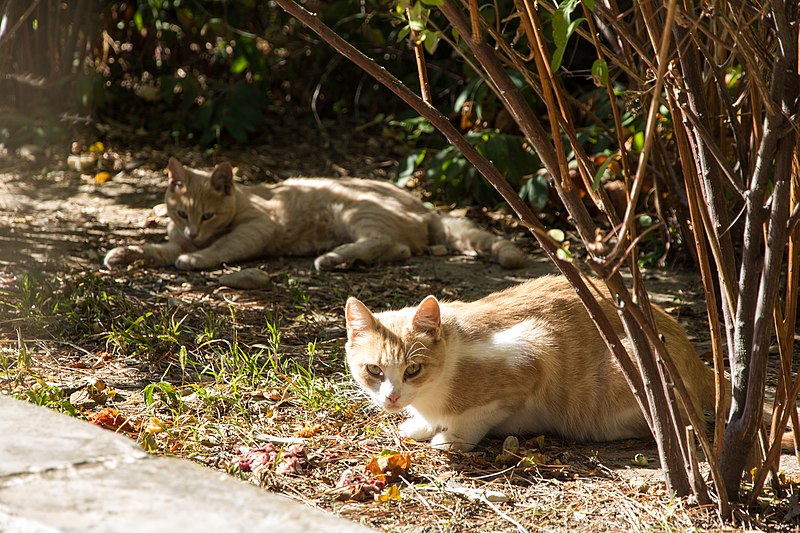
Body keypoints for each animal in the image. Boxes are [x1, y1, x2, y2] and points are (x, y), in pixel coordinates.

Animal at [103, 155, 524, 270]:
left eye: (207, 216)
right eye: (180, 214)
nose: (192, 234)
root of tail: (423, 206)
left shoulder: (259, 227)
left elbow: (222, 248)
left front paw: (196, 258)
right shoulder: (173, 240)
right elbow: (155, 249)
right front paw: (124, 252)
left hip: (355, 210)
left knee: (383, 240)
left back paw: (334, 258)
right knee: (401, 248)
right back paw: (344, 261)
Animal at [340, 272, 716, 450]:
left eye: (413, 369)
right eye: (374, 370)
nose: (392, 398)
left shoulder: (534, 349)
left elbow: (478, 416)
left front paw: (451, 438)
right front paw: (420, 424)